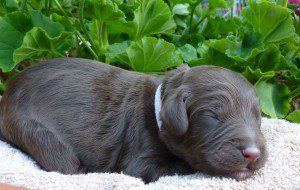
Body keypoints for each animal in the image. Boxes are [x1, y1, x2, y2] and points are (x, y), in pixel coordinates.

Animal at [0, 58, 268, 183]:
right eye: (213, 116)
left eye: (257, 117)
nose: (253, 154)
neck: (157, 109)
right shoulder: (141, 161)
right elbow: (183, 166)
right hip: (33, 130)